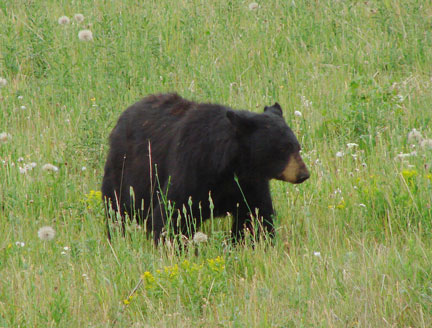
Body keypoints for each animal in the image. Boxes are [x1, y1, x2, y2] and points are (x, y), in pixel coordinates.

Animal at [101, 93, 310, 242]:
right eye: (283, 148)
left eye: (297, 146)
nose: (303, 174)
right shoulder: (192, 168)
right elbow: (173, 213)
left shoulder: (249, 183)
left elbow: (255, 215)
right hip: (127, 171)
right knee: (117, 206)